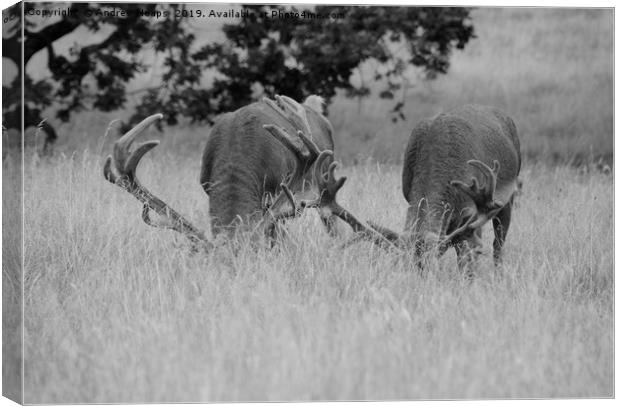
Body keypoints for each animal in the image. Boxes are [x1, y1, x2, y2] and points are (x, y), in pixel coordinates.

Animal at [278, 103, 520, 274]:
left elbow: (466, 252)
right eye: (405, 266)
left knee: (498, 243)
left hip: (508, 195)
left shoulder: (469, 211)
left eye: (432, 269)